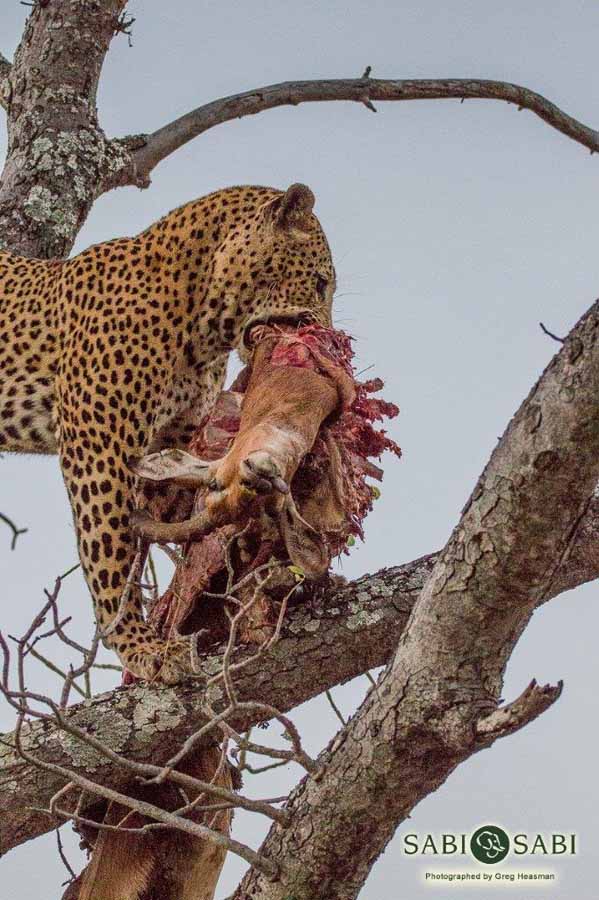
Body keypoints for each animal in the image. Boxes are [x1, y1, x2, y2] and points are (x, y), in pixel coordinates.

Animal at [0, 183, 336, 683]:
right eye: (319, 282)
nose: (328, 335)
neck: (200, 324)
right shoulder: (97, 448)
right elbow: (110, 553)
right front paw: (139, 646)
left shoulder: (169, 443)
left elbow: (179, 509)